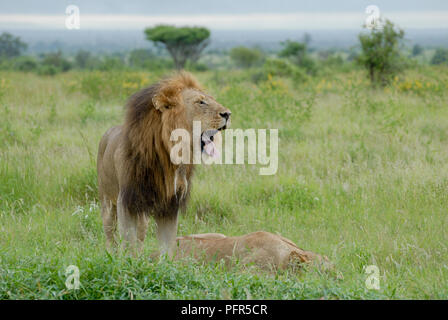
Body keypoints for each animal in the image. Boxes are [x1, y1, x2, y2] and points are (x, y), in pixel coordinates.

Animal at [97, 72, 231, 255]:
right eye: (201, 102)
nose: (228, 114)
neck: (169, 156)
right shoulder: (126, 200)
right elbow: (128, 241)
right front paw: (126, 260)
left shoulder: (170, 203)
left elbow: (167, 246)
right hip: (107, 201)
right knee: (110, 232)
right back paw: (110, 253)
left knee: (140, 233)